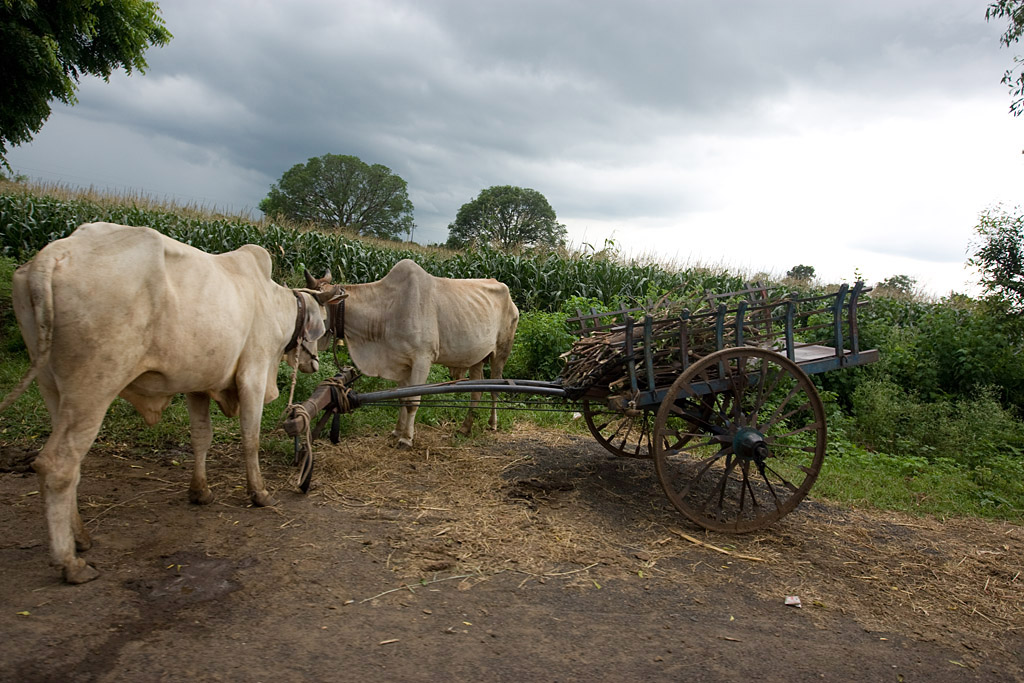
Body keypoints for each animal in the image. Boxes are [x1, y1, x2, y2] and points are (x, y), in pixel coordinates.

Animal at [0, 222, 345, 584]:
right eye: (322, 322)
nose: (315, 363)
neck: (274, 304)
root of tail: (53, 255)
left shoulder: (199, 385)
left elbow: (201, 437)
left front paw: (200, 492)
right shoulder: (252, 376)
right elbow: (250, 439)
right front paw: (260, 493)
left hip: (52, 387)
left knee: (71, 465)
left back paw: (80, 537)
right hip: (93, 388)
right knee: (57, 465)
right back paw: (70, 562)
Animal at [305, 259, 519, 448]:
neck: (386, 309)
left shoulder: (422, 360)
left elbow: (413, 401)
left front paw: (407, 439)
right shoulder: (401, 363)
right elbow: (402, 398)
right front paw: (397, 431)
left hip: (501, 351)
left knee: (495, 388)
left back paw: (493, 423)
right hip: (477, 358)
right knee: (477, 391)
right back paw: (465, 428)